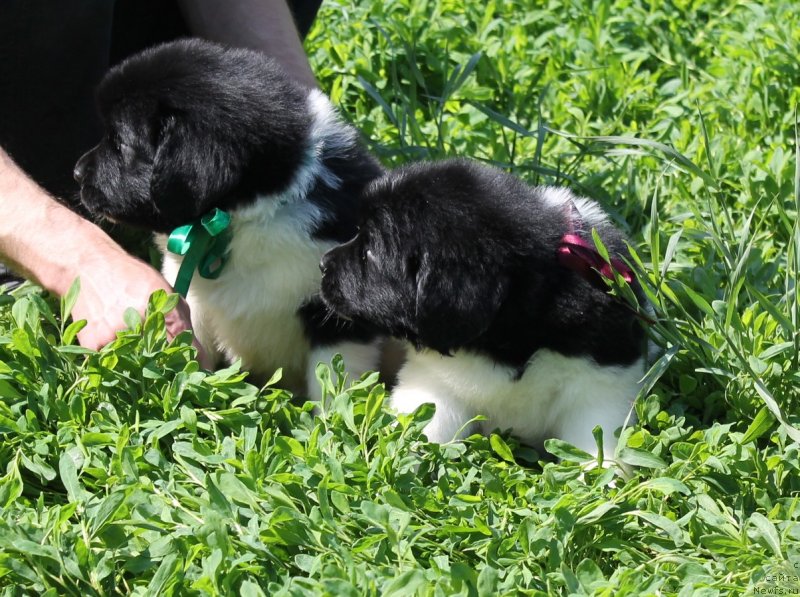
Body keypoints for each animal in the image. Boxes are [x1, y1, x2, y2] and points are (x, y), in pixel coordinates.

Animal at [322, 159, 648, 456]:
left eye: (369, 252)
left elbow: (598, 443)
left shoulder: (599, 381)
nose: (323, 264)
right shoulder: (436, 382)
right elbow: (423, 422)